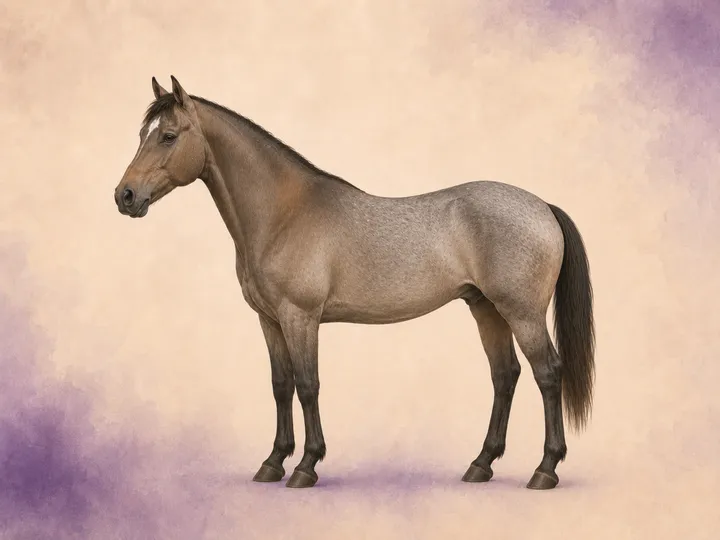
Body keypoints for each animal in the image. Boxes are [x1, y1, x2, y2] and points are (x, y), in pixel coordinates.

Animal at [114, 76, 595, 490]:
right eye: (143, 134)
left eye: (168, 135)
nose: (125, 196)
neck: (284, 214)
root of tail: (542, 206)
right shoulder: (269, 321)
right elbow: (280, 386)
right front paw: (272, 462)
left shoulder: (300, 317)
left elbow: (307, 385)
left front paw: (306, 466)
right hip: (485, 308)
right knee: (505, 375)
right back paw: (481, 465)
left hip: (521, 312)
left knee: (547, 373)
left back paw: (545, 470)